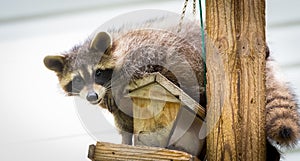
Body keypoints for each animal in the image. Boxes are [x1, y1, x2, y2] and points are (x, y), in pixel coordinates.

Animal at [43, 19, 298, 158]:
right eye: (77, 80)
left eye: (98, 72)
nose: (91, 96)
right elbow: (124, 123)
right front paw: (125, 142)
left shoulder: (140, 52)